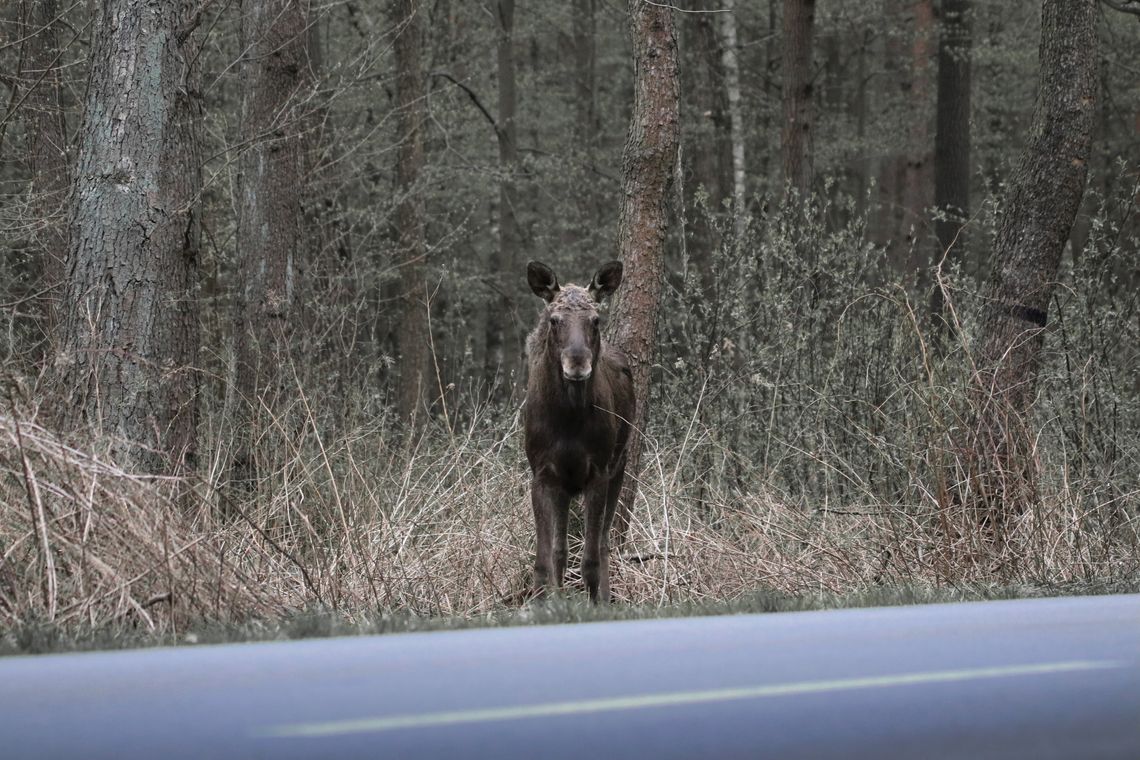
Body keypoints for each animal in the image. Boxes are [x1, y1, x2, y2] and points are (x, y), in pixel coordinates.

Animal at [522, 258, 633, 601]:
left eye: (595, 320)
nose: (577, 363)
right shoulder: (542, 474)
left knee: (605, 542)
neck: (568, 421)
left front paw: (595, 603)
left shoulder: (598, 471)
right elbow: (546, 558)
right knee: (562, 551)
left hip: (620, 465)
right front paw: (546, 602)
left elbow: (590, 559)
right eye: (554, 320)